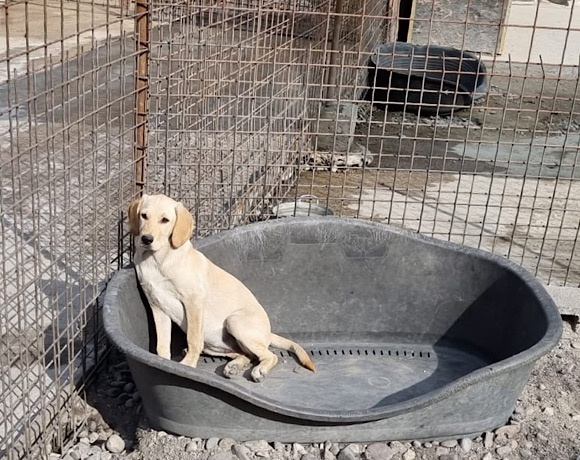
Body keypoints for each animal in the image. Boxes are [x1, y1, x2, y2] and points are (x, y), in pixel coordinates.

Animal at [127, 194, 316, 382]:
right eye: (144, 216)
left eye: (165, 220)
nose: (146, 239)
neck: (157, 260)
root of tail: (269, 333)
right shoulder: (158, 306)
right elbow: (162, 345)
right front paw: (163, 364)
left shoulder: (194, 300)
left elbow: (193, 338)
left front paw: (187, 365)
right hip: (216, 343)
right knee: (247, 355)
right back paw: (234, 366)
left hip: (234, 322)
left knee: (269, 355)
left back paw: (259, 370)